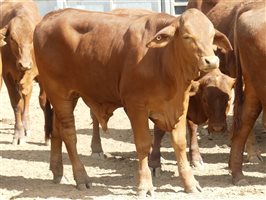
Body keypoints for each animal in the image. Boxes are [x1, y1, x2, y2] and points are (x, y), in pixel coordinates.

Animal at [0, 0, 50, 144]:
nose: (25, 64)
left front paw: (48, 134)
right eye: (12, 38)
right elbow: (17, 103)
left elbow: (43, 101)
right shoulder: (7, 76)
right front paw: (18, 134)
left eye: (32, 38)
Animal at [33, 7, 231, 195]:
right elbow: (143, 144)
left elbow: (180, 143)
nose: (211, 61)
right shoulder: (136, 106)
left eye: (211, 36)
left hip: (68, 96)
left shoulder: (179, 105)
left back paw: (58, 172)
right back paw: (81, 177)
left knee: (57, 130)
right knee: (69, 134)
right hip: (59, 93)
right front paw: (144, 185)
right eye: (187, 36)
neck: (162, 59)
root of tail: (49, 17)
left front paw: (190, 183)